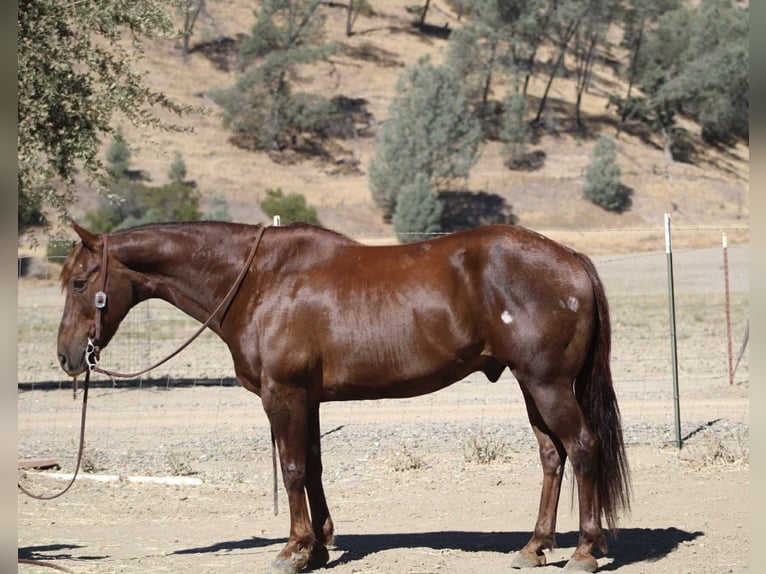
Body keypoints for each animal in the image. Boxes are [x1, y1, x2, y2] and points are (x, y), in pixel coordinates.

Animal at [57, 220, 630, 573]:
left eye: (81, 282)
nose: (66, 357)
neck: (261, 280)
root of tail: (570, 258)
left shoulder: (283, 395)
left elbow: (291, 469)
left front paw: (293, 550)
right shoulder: (307, 400)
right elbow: (311, 467)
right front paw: (318, 546)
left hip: (548, 384)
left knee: (582, 449)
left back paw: (583, 551)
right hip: (531, 385)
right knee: (552, 456)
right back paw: (534, 547)